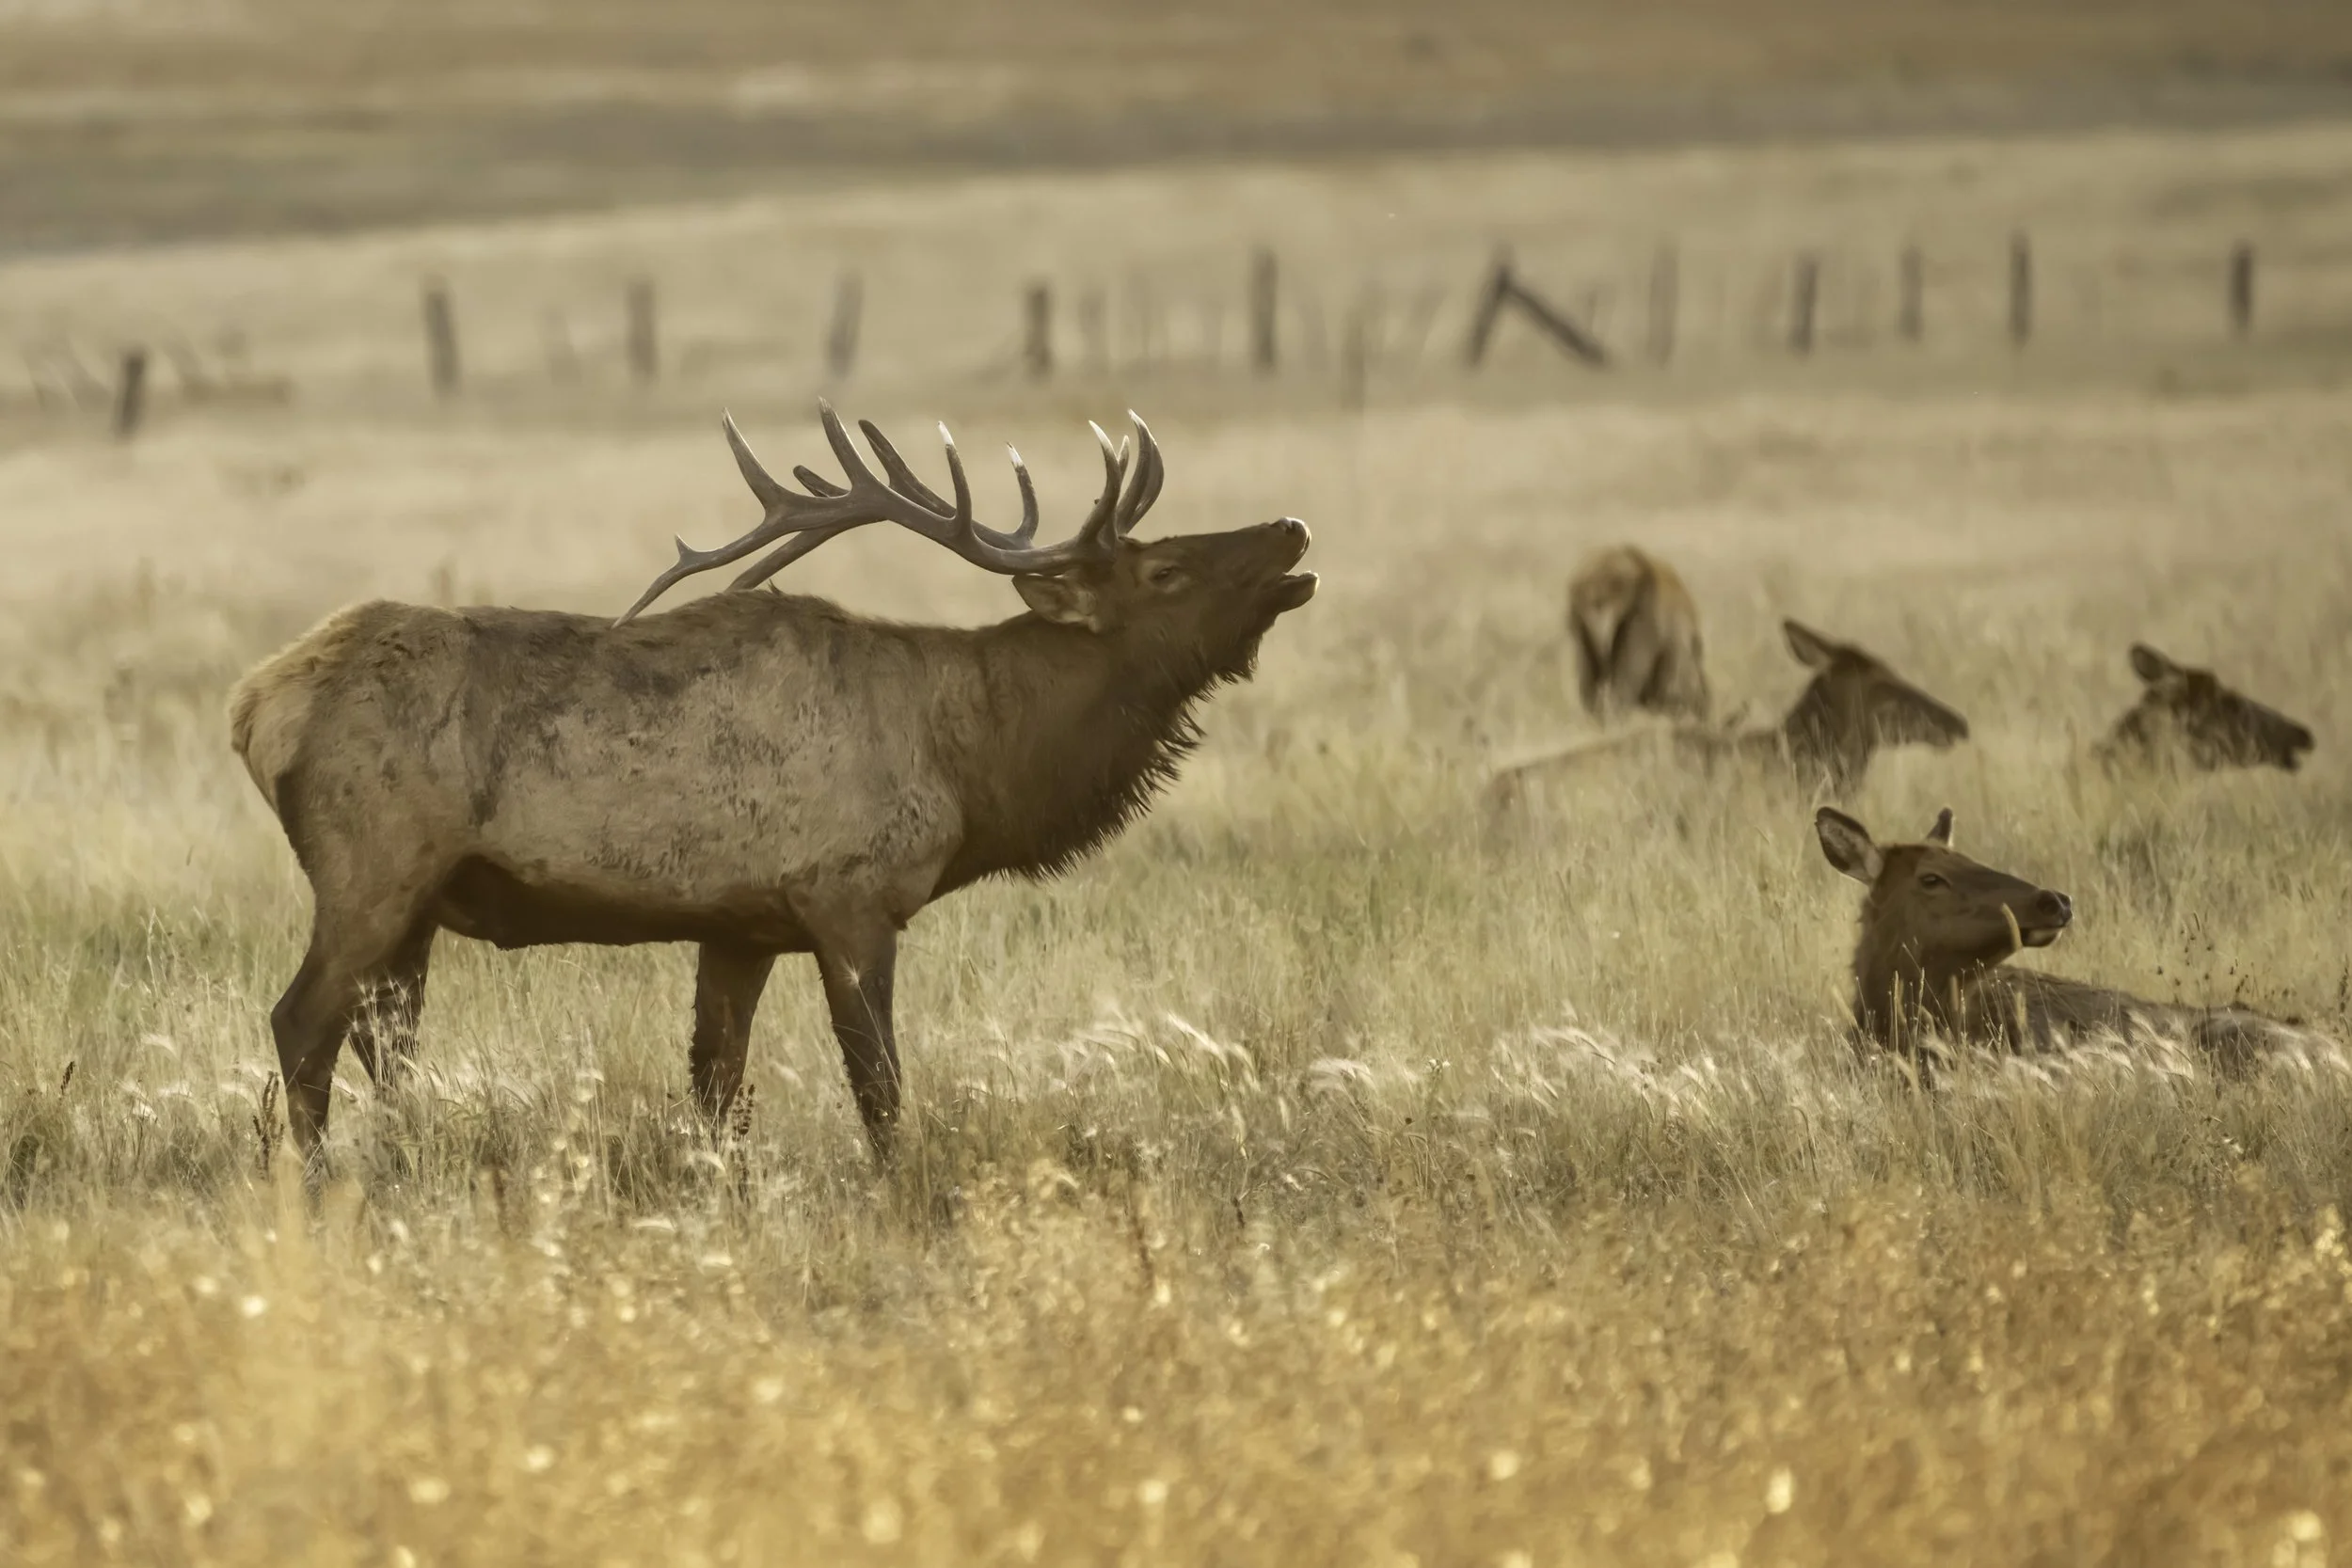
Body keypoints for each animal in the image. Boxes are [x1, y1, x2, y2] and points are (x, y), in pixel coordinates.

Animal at [227, 403, 1316, 1159]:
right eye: (1164, 571)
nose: (1293, 532)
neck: (970, 761)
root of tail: (254, 704)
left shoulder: (738, 925)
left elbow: (718, 1088)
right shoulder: (848, 895)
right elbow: (879, 1089)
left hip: (416, 907)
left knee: (386, 1039)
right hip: (372, 867)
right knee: (303, 1022)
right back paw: (316, 1182)